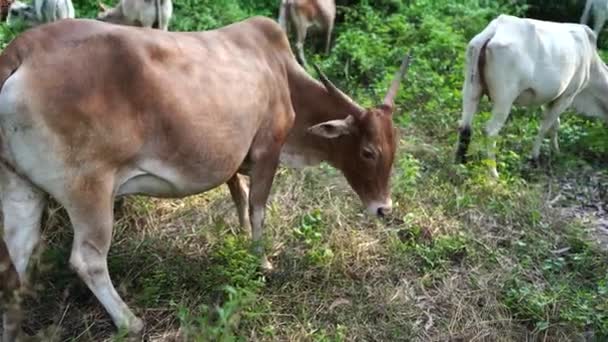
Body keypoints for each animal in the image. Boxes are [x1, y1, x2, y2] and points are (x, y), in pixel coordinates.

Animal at [0, 16, 408, 340]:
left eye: (395, 145)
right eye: (368, 151)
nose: (384, 209)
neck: (282, 75)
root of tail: (21, 51)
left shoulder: (234, 161)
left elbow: (239, 197)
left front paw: (241, 242)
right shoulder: (268, 151)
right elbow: (258, 207)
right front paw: (261, 261)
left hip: (19, 186)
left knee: (17, 254)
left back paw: (14, 326)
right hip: (89, 191)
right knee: (88, 259)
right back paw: (130, 322)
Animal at [456, 14, 608, 178]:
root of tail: (493, 31)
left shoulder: (550, 98)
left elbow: (555, 124)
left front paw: (556, 151)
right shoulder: (567, 96)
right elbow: (545, 126)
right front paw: (535, 157)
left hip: (471, 89)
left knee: (465, 126)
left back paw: (459, 163)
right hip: (504, 100)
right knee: (490, 131)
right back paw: (493, 173)